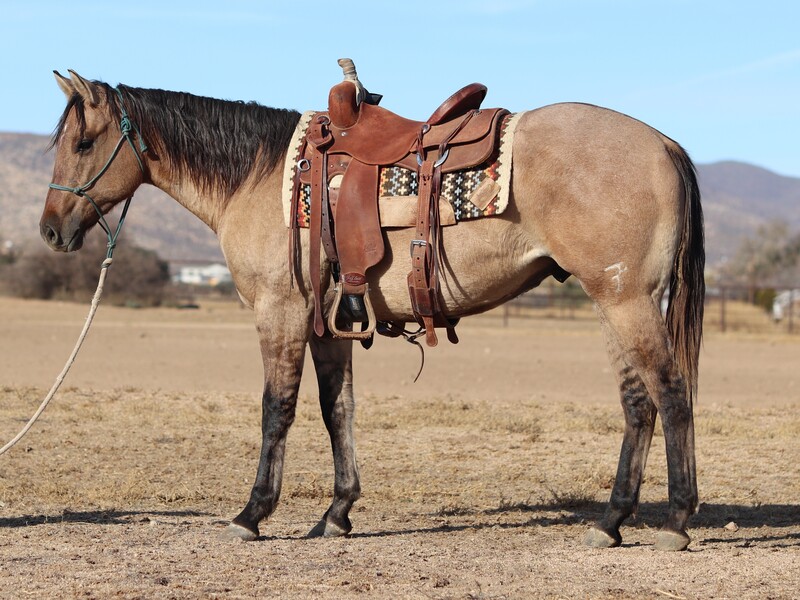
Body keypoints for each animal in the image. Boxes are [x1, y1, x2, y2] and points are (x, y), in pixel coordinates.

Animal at [40, 68, 704, 552]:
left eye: (83, 142)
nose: (50, 230)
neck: (259, 177)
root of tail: (663, 143)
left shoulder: (280, 313)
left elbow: (277, 409)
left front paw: (252, 513)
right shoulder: (328, 322)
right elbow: (338, 410)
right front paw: (337, 512)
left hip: (626, 301)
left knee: (670, 393)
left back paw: (676, 522)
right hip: (611, 300)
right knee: (638, 402)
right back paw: (610, 522)